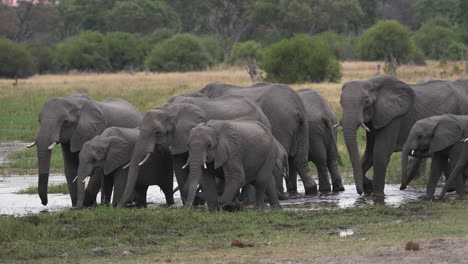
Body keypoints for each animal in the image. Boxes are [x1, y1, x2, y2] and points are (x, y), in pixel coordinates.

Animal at [118, 94, 274, 206]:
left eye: (158, 132)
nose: (119, 207)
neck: (170, 109)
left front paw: (195, 202)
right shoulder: (178, 139)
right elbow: (180, 167)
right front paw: (191, 204)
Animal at [338, 75, 468, 195]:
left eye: (367, 102)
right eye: (340, 102)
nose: (360, 192)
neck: (372, 83)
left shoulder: (394, 117)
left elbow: (380, 152)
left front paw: (378, 195)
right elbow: (368, 154)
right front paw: (368, 187)